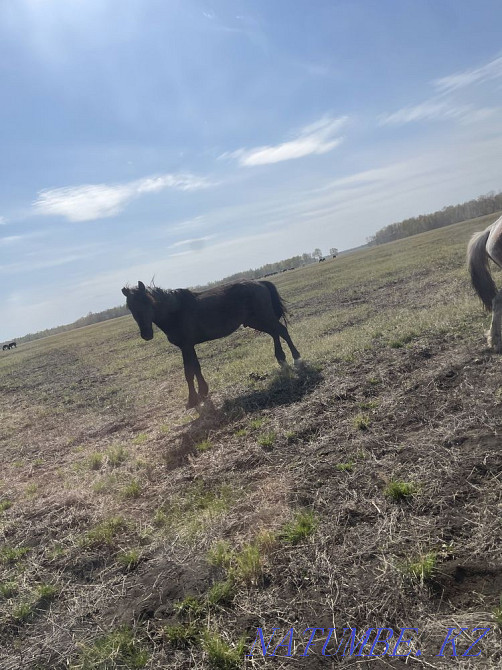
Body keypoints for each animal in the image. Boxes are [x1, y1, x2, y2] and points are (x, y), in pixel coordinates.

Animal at [122, 279, 302, 408]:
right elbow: (196, 368)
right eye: (130, 307)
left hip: (263, 317)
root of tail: (260, 283)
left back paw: (296, 358)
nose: (146, 334)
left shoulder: (185, 346)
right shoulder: (189, 346)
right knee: (275, 333)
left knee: (281, 331)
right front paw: (203, 392)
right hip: (256, 321)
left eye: (146, 302)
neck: (176, 311)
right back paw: (282, 359)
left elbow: (188, 372)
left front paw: (192, 400)